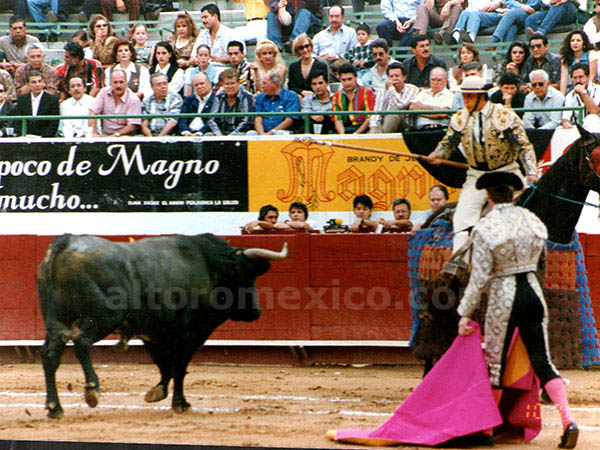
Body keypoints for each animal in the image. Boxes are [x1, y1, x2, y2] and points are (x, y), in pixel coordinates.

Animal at [38, 232, 288, 418]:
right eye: (247, 275)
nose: (255, 312)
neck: (210, 267)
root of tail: (65, 243)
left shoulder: (153, 332)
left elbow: (164, 364)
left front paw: (157, 392)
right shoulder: (191, 333)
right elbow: (179, 366)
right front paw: (181, 403)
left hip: (58, 321)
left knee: (50, 355)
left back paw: (55, 408)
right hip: (102, 318)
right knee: (81, 342)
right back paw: (92, 390)